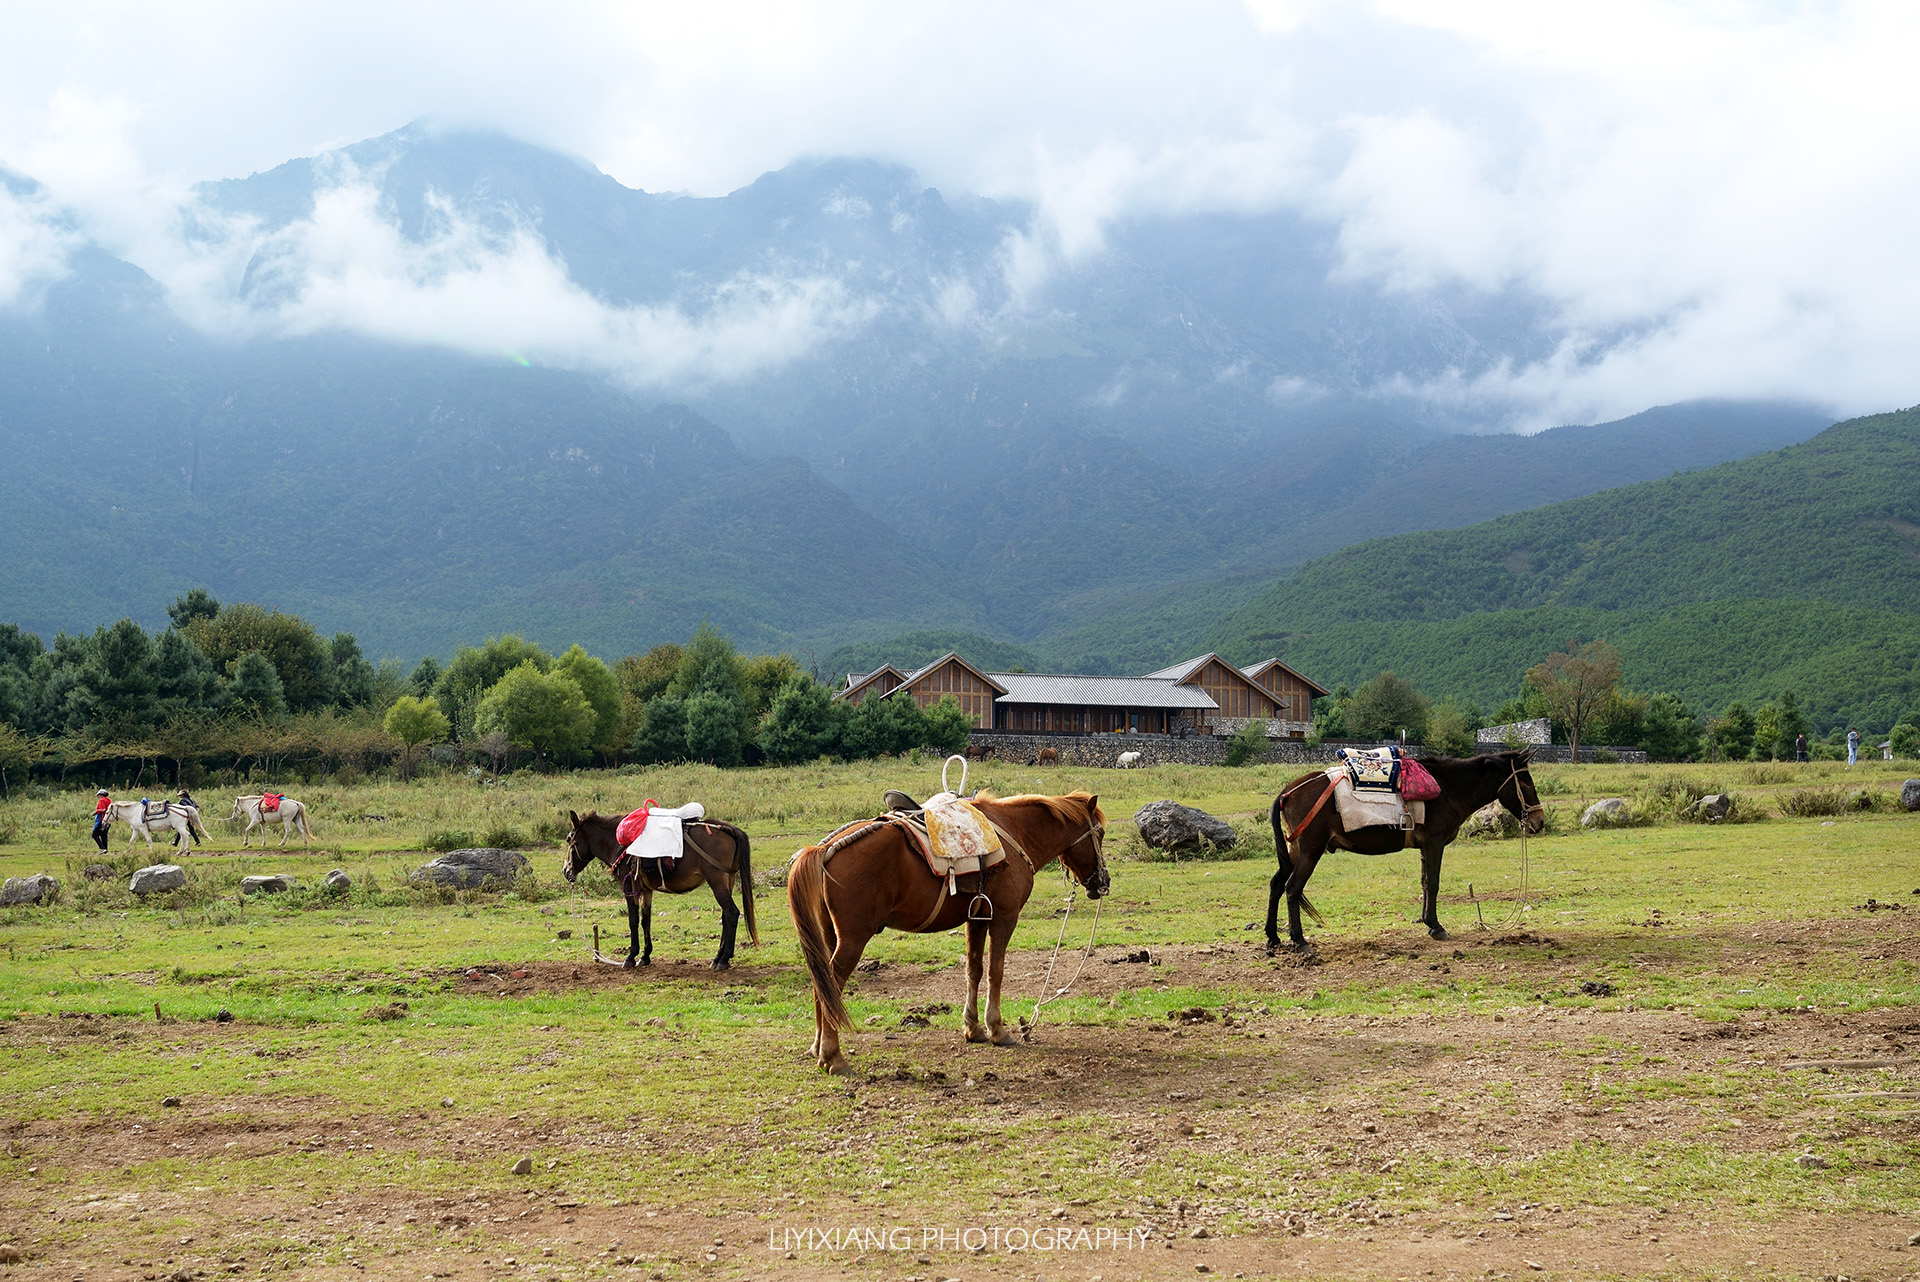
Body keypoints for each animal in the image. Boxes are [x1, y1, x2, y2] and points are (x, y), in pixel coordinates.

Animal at [560, 809, 756, 971]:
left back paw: (724, 959)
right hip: (727, 879)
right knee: (726, 915)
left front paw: (630, 957)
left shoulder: (629, 888)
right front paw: (645, 956)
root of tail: (728, 829)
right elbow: (645, 921)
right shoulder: (646, 891)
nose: (566, 871)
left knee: (731, 913)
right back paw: (717, 958)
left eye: (570, 840)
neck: (620, 844)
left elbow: (632, 920)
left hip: (717, 881)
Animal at [783, 790, 1113, 1074]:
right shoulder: (1004, 917)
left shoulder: (977, 918)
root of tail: (824, 850)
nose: (1102, 882)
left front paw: (974, 1028)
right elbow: (996, 972)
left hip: (829, 935)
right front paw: (997, 1029)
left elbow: (974, 970)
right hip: (852, 940)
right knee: (831, 984)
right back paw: (833, 1056)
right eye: (1100, 833)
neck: (1014, 833)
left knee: (821, 983)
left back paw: (817, 1047)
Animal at [1267, 744, 1551, 948]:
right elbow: (1433, 884)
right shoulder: (1435, 842)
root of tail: (1288, 792)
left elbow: (1425, 883)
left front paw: (1429, 923)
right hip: (1310, 850)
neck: (1447, 788)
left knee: (1277, 885)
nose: (1539, 821)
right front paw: (1437, 926)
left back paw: (1273, 937)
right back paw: (1299, 940)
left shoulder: (1425, 845)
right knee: (1292, 887)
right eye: (1526, 783)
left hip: (1295, 851)